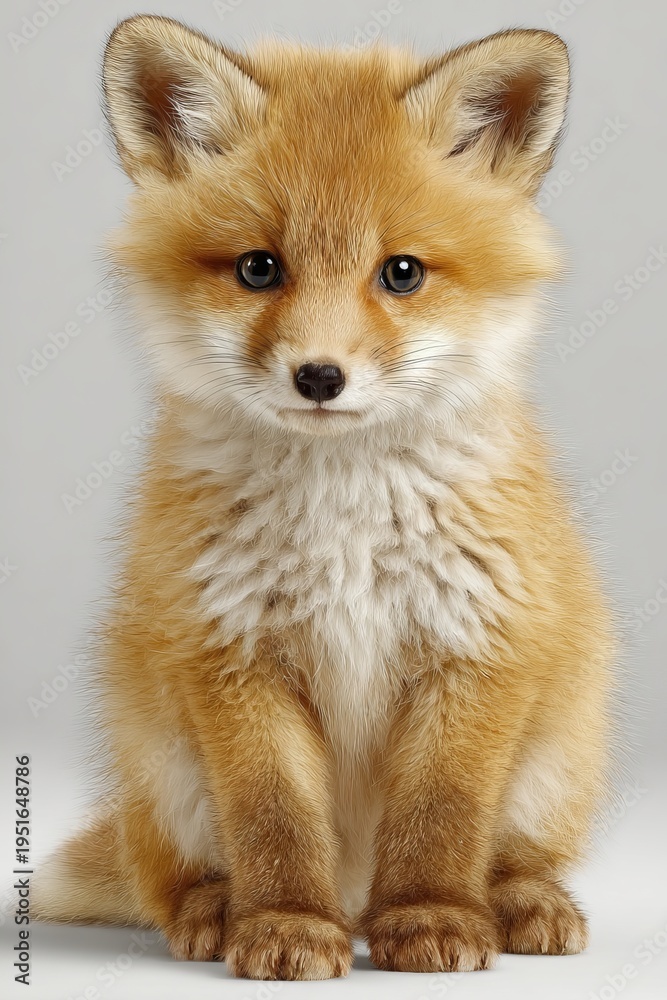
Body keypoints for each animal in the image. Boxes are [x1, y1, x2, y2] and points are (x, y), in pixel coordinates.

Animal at [34, 15, 614, 981]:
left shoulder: (473, 644)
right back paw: (216, 910)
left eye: (402, 273)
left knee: (509, 854)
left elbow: (441, 814)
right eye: (258, 269)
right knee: (169, 875)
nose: (318, 376)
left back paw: (516, 902)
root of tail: (354, 890)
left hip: (556, 752)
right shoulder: (232, 652)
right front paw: (283, 925)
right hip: (162, 760)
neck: (344, 527)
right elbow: (273, 818)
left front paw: (429, 917)